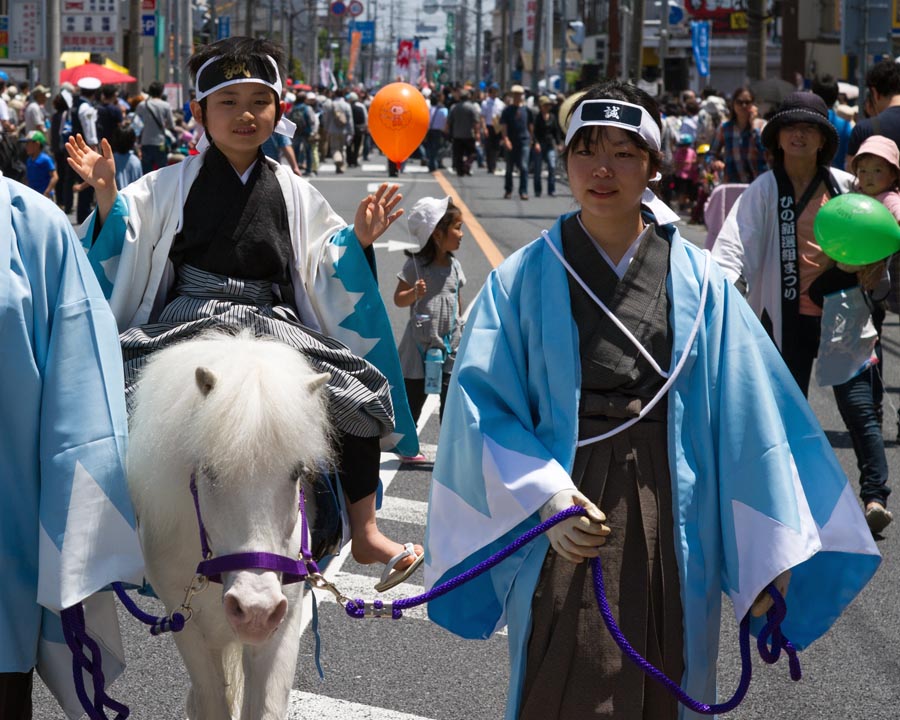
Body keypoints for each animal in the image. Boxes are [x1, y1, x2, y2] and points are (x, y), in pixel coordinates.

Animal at [128, 334, 332, 720]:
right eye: (209, 471)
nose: (255, 610)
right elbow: (212, 702)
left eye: (297, 472)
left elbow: (265, 707)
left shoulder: (283, 620)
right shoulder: (186, 624)